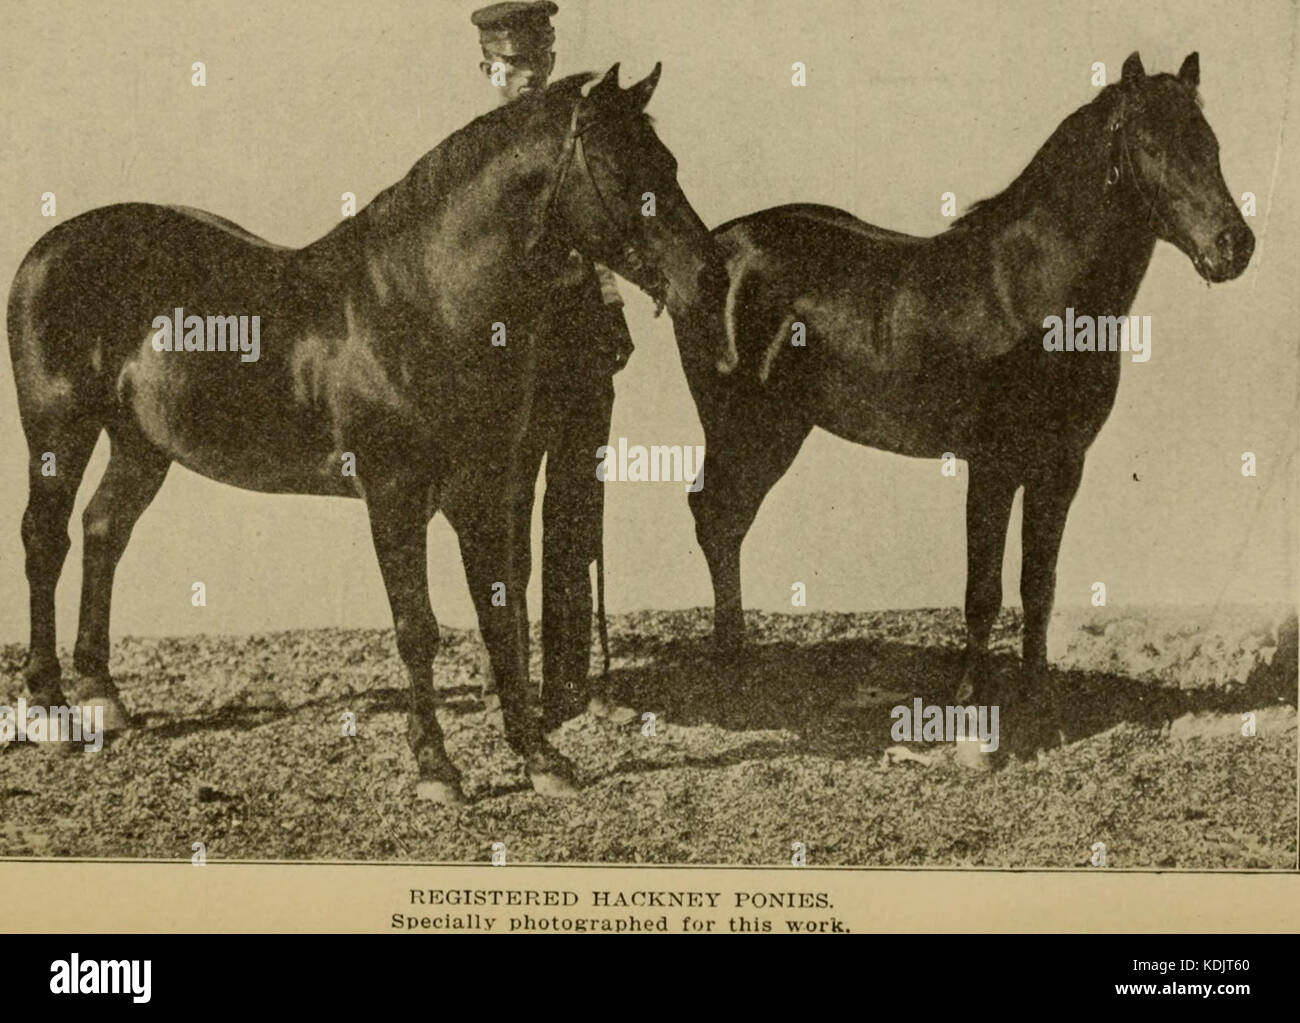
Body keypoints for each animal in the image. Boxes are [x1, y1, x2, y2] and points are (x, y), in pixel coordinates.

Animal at [10, 64, 738, 805]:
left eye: (669, 163)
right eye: (620, 173)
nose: (710, 277)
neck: (422, 302)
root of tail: (51, 247)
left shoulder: (483, 492)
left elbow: (500, 616)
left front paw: (540, 757)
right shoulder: (393, 495)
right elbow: (417, 628)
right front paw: (437, 766)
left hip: (140, 444)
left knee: (104, 531)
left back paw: (102, 696)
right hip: (58, 431)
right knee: (46, 540)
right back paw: (49, 708)